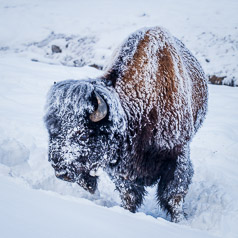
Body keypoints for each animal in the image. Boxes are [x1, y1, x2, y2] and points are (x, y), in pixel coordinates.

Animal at [44, 27, 208, 222]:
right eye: (51, 131)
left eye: (83, 134)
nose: (60, 171)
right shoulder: (121, 167)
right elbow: (129, 195)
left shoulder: (178, 154)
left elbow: (173, 195)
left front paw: (179, 220)